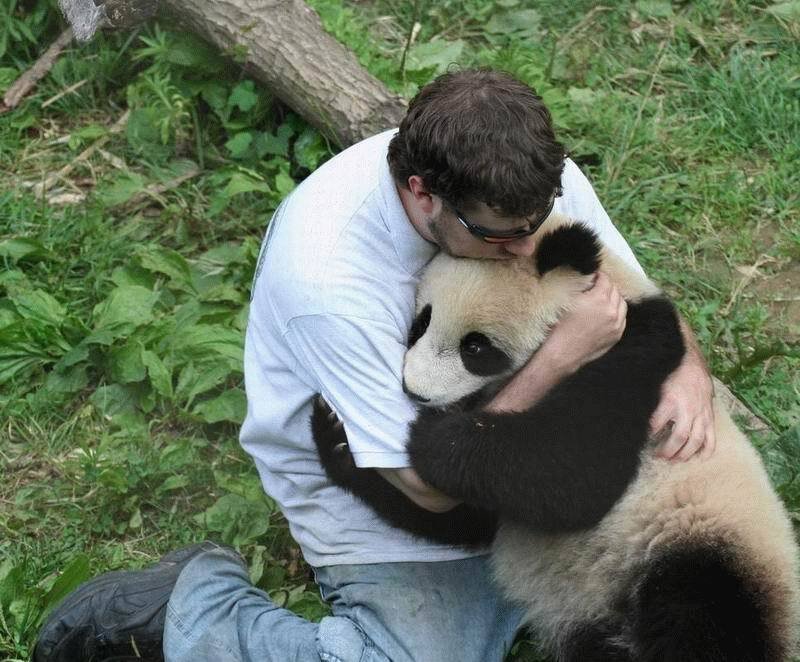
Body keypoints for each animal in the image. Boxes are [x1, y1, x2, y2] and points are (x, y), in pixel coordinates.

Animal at [311, 213, 800, 662]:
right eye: (421, 322)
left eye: (476, 348)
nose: (416, 391)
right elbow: (465, 513)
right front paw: (334, 436)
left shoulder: (635, 352)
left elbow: (569, 472)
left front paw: (433, 437)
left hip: (705, 546)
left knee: (702, 618)